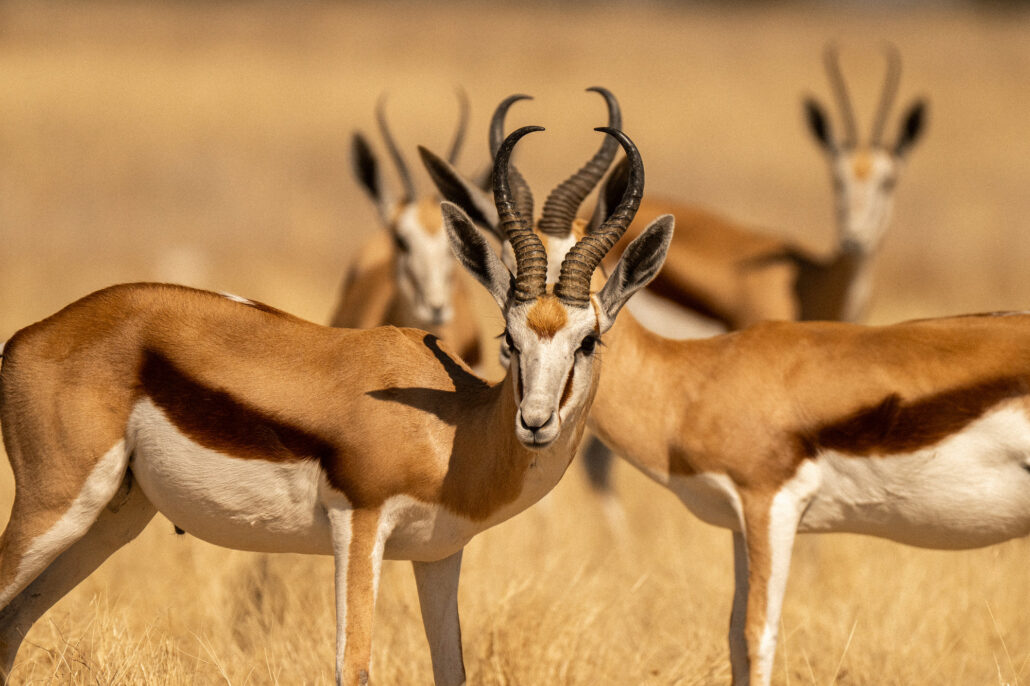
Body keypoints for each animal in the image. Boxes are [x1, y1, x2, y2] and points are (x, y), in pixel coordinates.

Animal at [0, 123, 670, 685]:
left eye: (589, 340)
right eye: (510, 336)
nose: (535, 421)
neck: (454, 431)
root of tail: (30, 336)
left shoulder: (438, 555)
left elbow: (450, 670)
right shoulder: (360, 525)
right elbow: (356, 666)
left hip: (111, 520)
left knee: (15, 623)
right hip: (55, 505)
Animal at [427, 127, 1030, 686]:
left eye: (588, 338)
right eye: (511, 331)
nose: (535, 420)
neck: (698, 379)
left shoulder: (771, 506)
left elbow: (757, 635)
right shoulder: (740, 525)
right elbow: (735, 637)